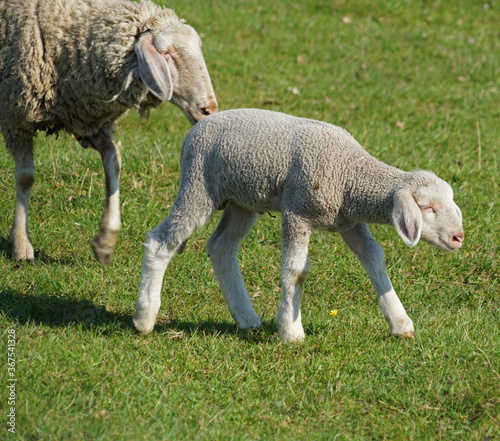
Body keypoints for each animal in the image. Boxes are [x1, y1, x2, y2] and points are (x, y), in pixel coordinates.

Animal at [0, 0, 218, 262]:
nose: (209, 109)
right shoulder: (15, 118)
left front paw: (106, 239)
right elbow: (25, 177)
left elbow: (113, 162)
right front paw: (21, 244)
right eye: (165, 53)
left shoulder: (89, 121)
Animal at [133, 108, 464, 342]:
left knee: (221, 248)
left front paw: (400, 322)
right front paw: (291, 331)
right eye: (428, 208)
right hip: (199, 186)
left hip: (242, 202)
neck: (349, 173)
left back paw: (246, 318)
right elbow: (296, 271)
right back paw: (144, 317)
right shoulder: (297, 211)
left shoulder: (349, 221)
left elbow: (374, 259)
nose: (458, 237)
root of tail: (195, 130)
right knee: (161, 241)